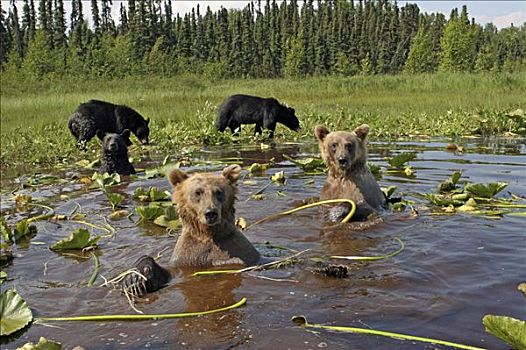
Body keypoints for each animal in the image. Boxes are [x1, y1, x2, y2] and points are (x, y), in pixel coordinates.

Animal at [121, 165, 258, 296]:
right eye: (198, 192)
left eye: (218, 192)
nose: (210, 213)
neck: (207, 233)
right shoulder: (186, 257)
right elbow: (168, 272)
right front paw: (135, 279)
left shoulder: (237, 248)